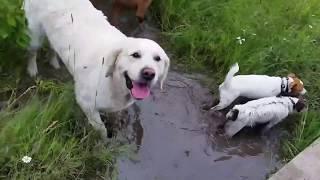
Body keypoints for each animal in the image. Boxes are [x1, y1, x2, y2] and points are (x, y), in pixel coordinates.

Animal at [23, 0, 169, 140]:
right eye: (135, 55)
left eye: (158, 59)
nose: (149, 73)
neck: (113, 81)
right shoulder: (86, 104)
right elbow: (101, 128)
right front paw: (104, 141)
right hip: (34, 33)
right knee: (32, 52)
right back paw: (32, 69)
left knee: (53, 47)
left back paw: (54, 62)